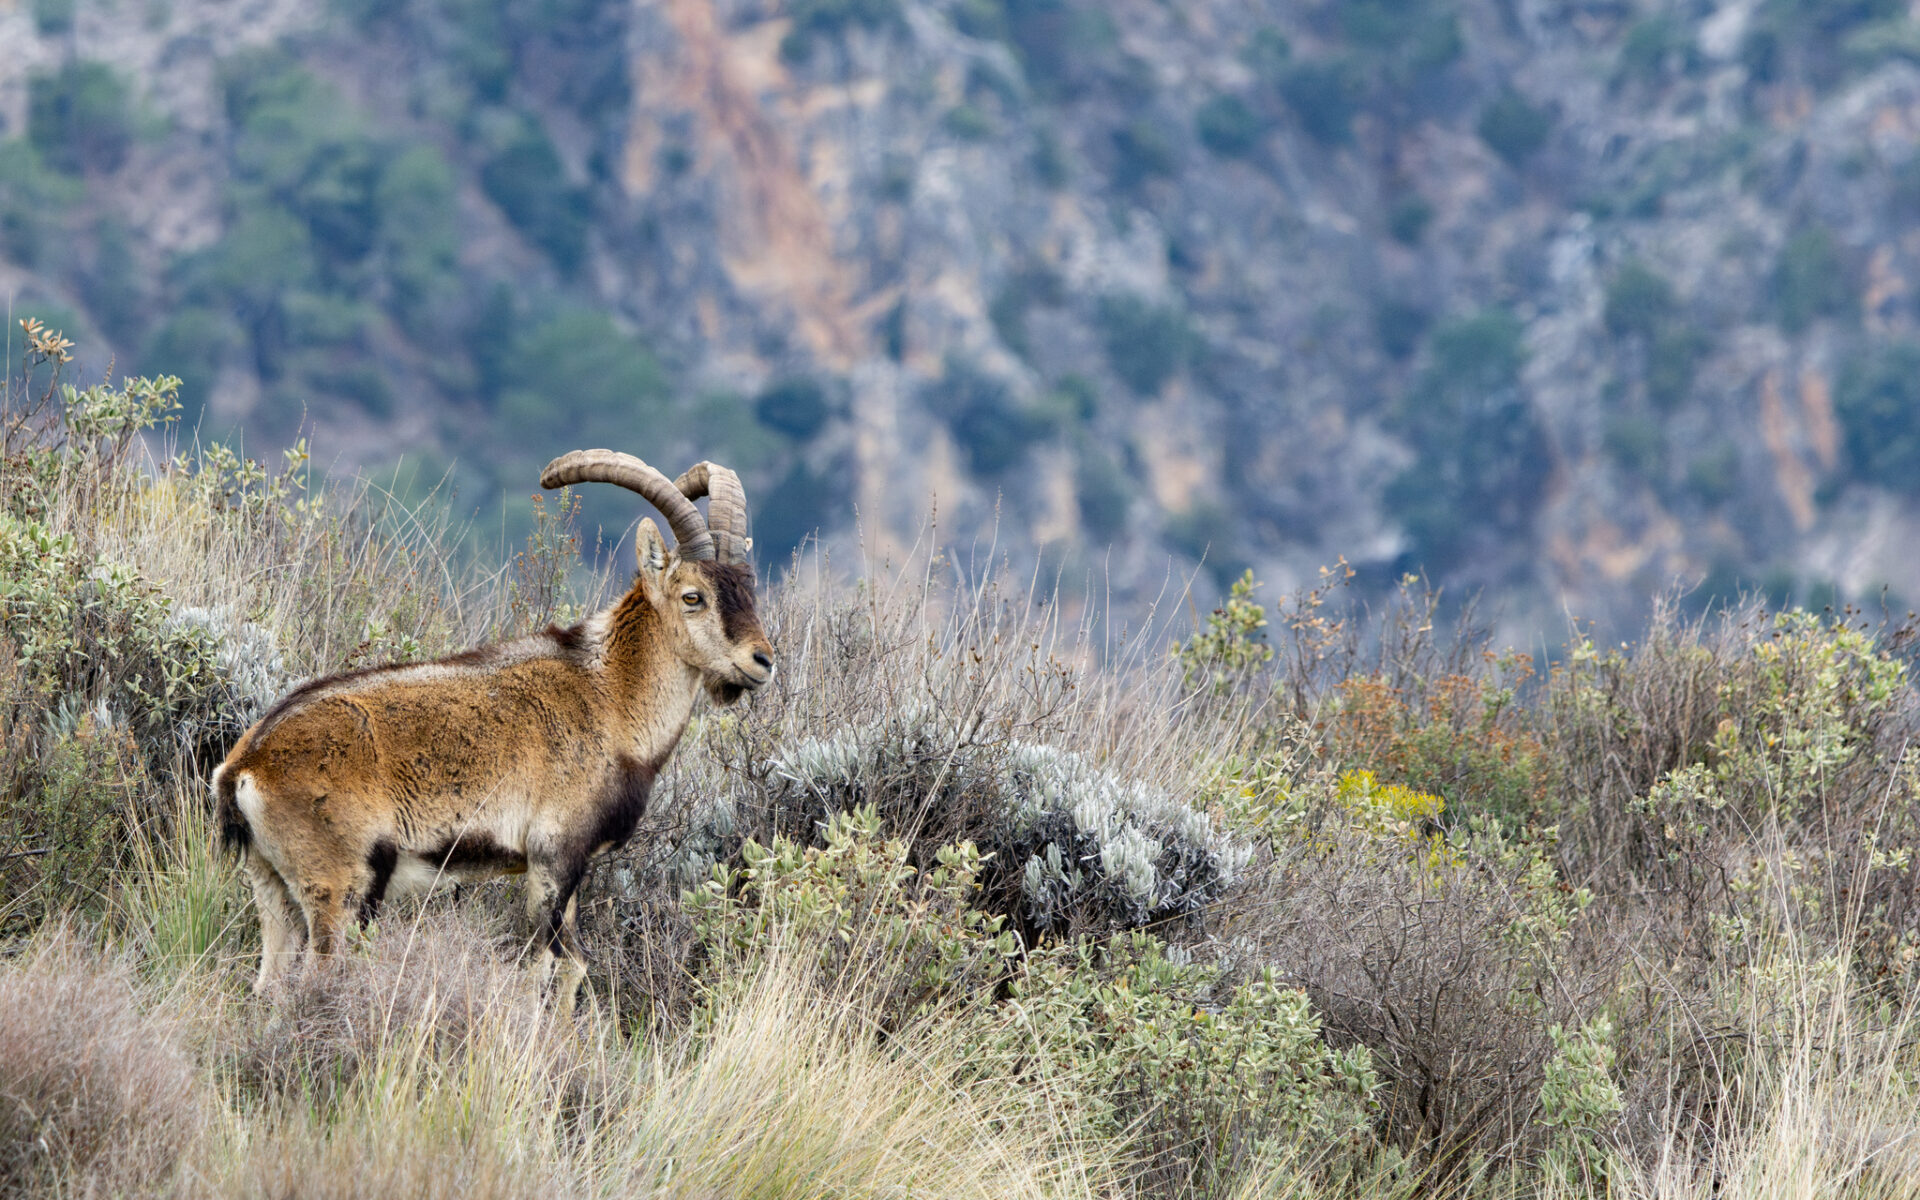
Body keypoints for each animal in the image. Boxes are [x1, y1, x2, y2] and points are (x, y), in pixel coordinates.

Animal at [212, 450, 773, 1007]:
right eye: (693, 596)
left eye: (749, 589)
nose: (762, 660)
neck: (611, 700)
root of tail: (245, 767)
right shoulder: (552, 857)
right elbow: (552, 966)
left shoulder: (570, 870)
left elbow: (569, 965)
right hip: (340, 886)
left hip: (272, 884)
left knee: (268, 983)